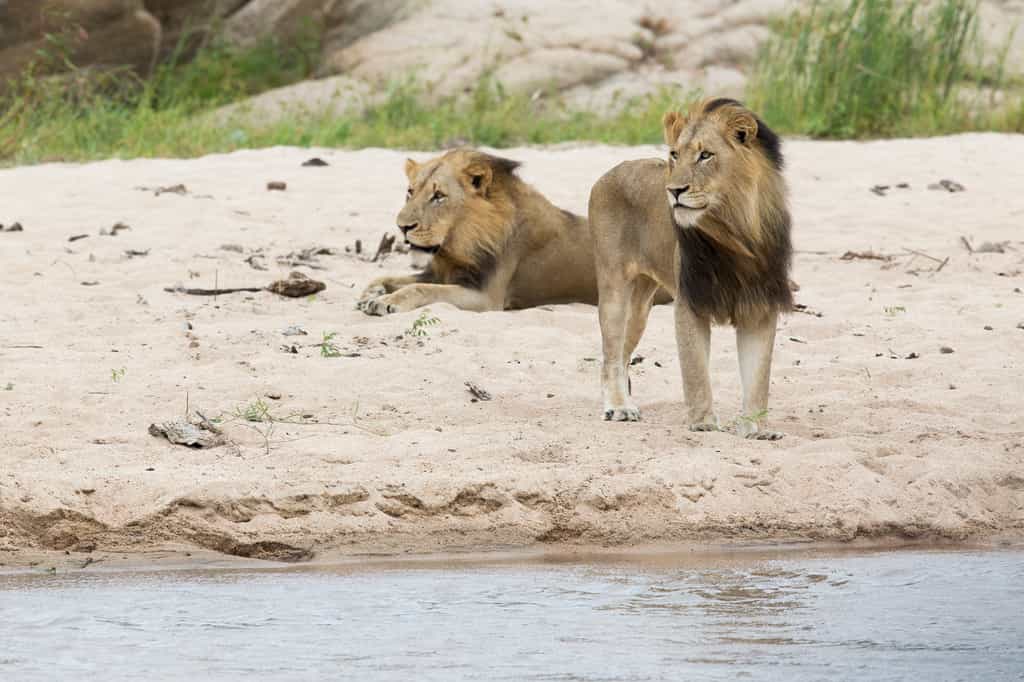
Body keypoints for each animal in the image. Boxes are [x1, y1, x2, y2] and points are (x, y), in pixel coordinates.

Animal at [357, 149, 602, 315]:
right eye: (410, 192)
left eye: (439, 196)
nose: (402, 226)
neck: (458, 244)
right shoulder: (440, 273)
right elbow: (390, 278)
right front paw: (371, 293)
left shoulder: (486, 297)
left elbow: (421, 289)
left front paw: (386, 301)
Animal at [588, 97, 793, 439]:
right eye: (675, 154)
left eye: (705, 155)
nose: (673, 191)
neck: (737, 230)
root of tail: (614, 169)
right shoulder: (690, 301)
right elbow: (695, 369)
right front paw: (703, 423)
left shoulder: (760, 307)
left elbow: (758, 376)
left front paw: (756, 428)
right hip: (615, 287)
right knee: (611, 355)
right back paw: (618, 408)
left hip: (640, 307)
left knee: (623, 353)